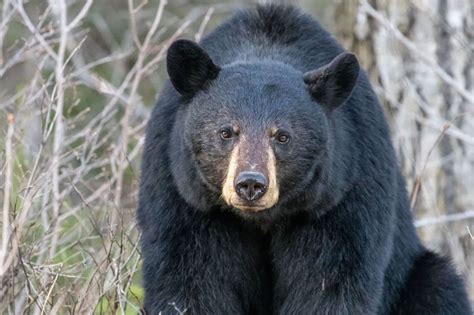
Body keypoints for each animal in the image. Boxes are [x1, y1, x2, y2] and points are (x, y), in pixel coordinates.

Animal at [136, 3, 470, 314]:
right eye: (226, 132)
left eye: (282, 136)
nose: (251, 184)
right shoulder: (184, 193)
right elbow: (190, 277)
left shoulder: (341, 193)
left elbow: (329, 282)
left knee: (440, 287)